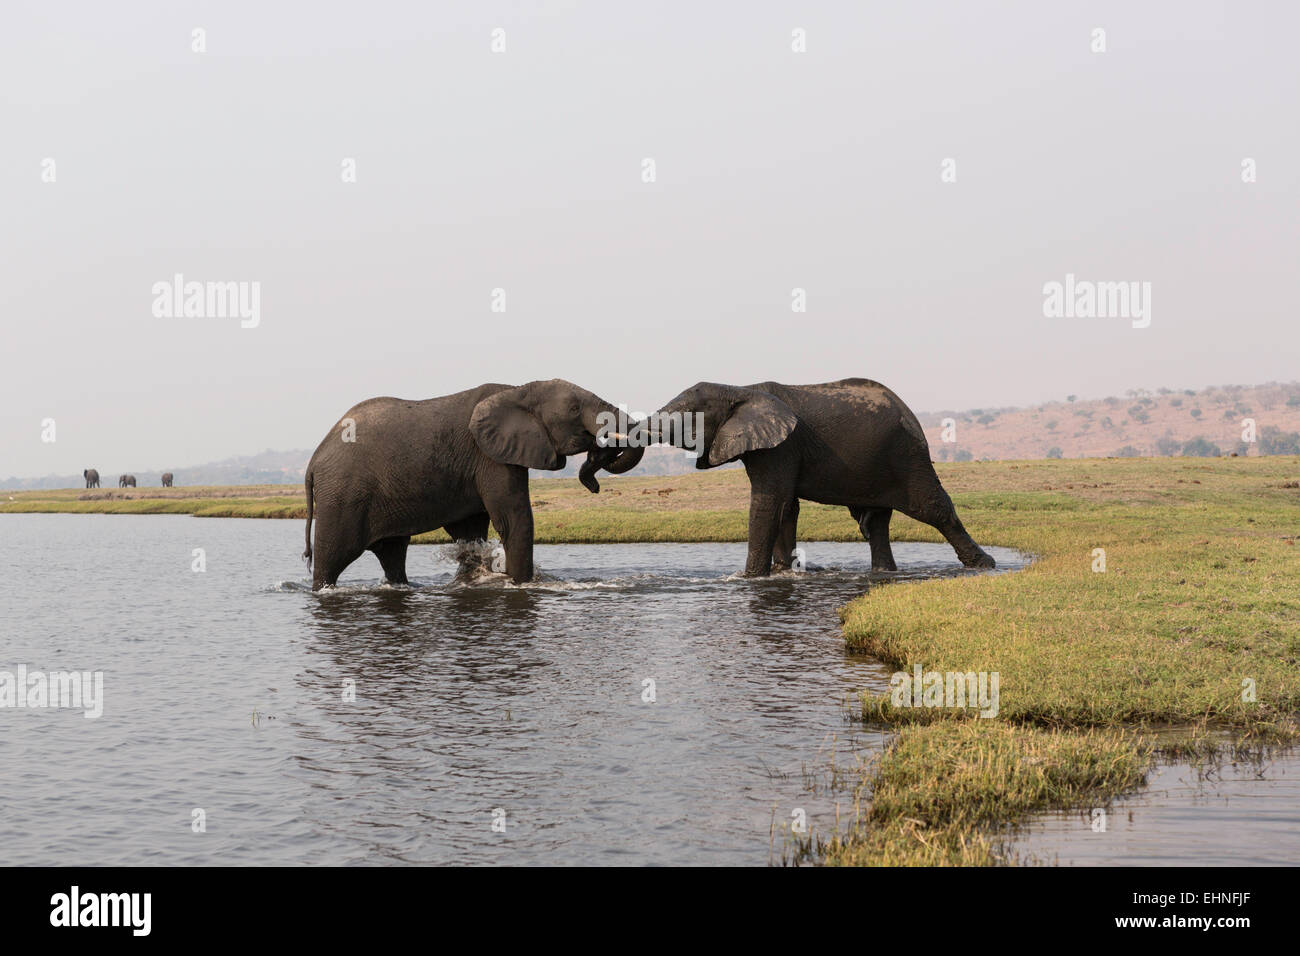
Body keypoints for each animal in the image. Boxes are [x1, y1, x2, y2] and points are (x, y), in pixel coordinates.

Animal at [305, 379, 650, 590]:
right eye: (575, 410)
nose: (593, 480)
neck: (520, 390)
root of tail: (313, 461)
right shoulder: (490, 456)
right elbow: (514, 520)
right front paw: (521, 585)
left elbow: (470, 531)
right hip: (342, 496)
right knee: (332, 558)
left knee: (392, 553)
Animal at [650, 379, 993, 574]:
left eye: (684, 416)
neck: (739, 389)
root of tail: (907, 409)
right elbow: (786, 507)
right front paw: (784, 571)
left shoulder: (782, 446)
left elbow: (769, 504)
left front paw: (748, 579)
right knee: (878, 523)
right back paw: (884, 573)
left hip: (907, 454)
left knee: (933, 508)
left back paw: (984, 565)